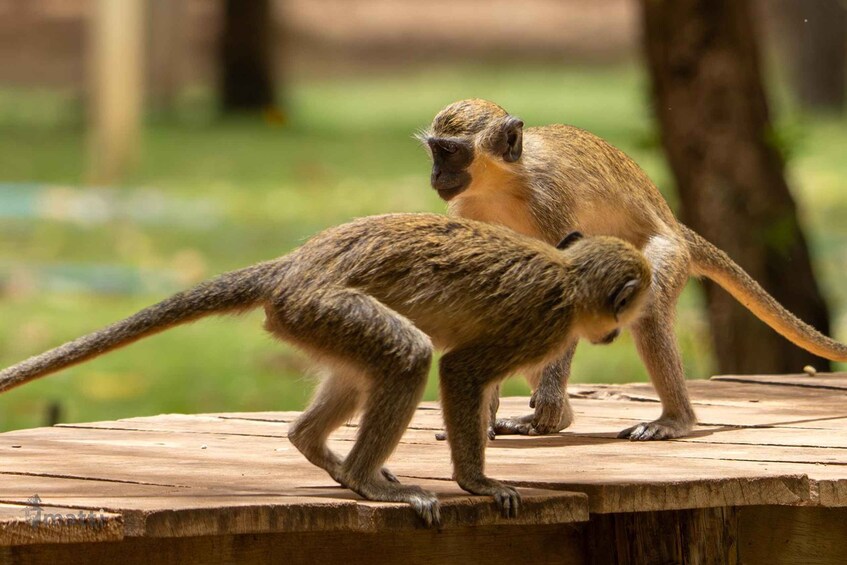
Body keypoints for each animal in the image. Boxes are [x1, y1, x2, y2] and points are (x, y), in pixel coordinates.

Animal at [0, 213, 651, 526]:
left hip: (309, 319)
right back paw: (367, 479)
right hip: (320, 305)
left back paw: (319, 449)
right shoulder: (540, 326)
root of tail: (292, 267)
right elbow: (461, 371)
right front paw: (478, 483)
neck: (567, 275)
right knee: (410, 354)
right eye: (625, 310)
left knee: (363, 372)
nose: (615, 332)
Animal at [419, 98, 847, 441]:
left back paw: (674, 420)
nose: (435, 176)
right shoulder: (465, 210)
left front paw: (546, 402)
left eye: (449, 151)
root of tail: (676, 228)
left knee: (651, 311)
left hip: (666, 252)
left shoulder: (548, 200)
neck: (504, 182)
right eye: (435, 152)